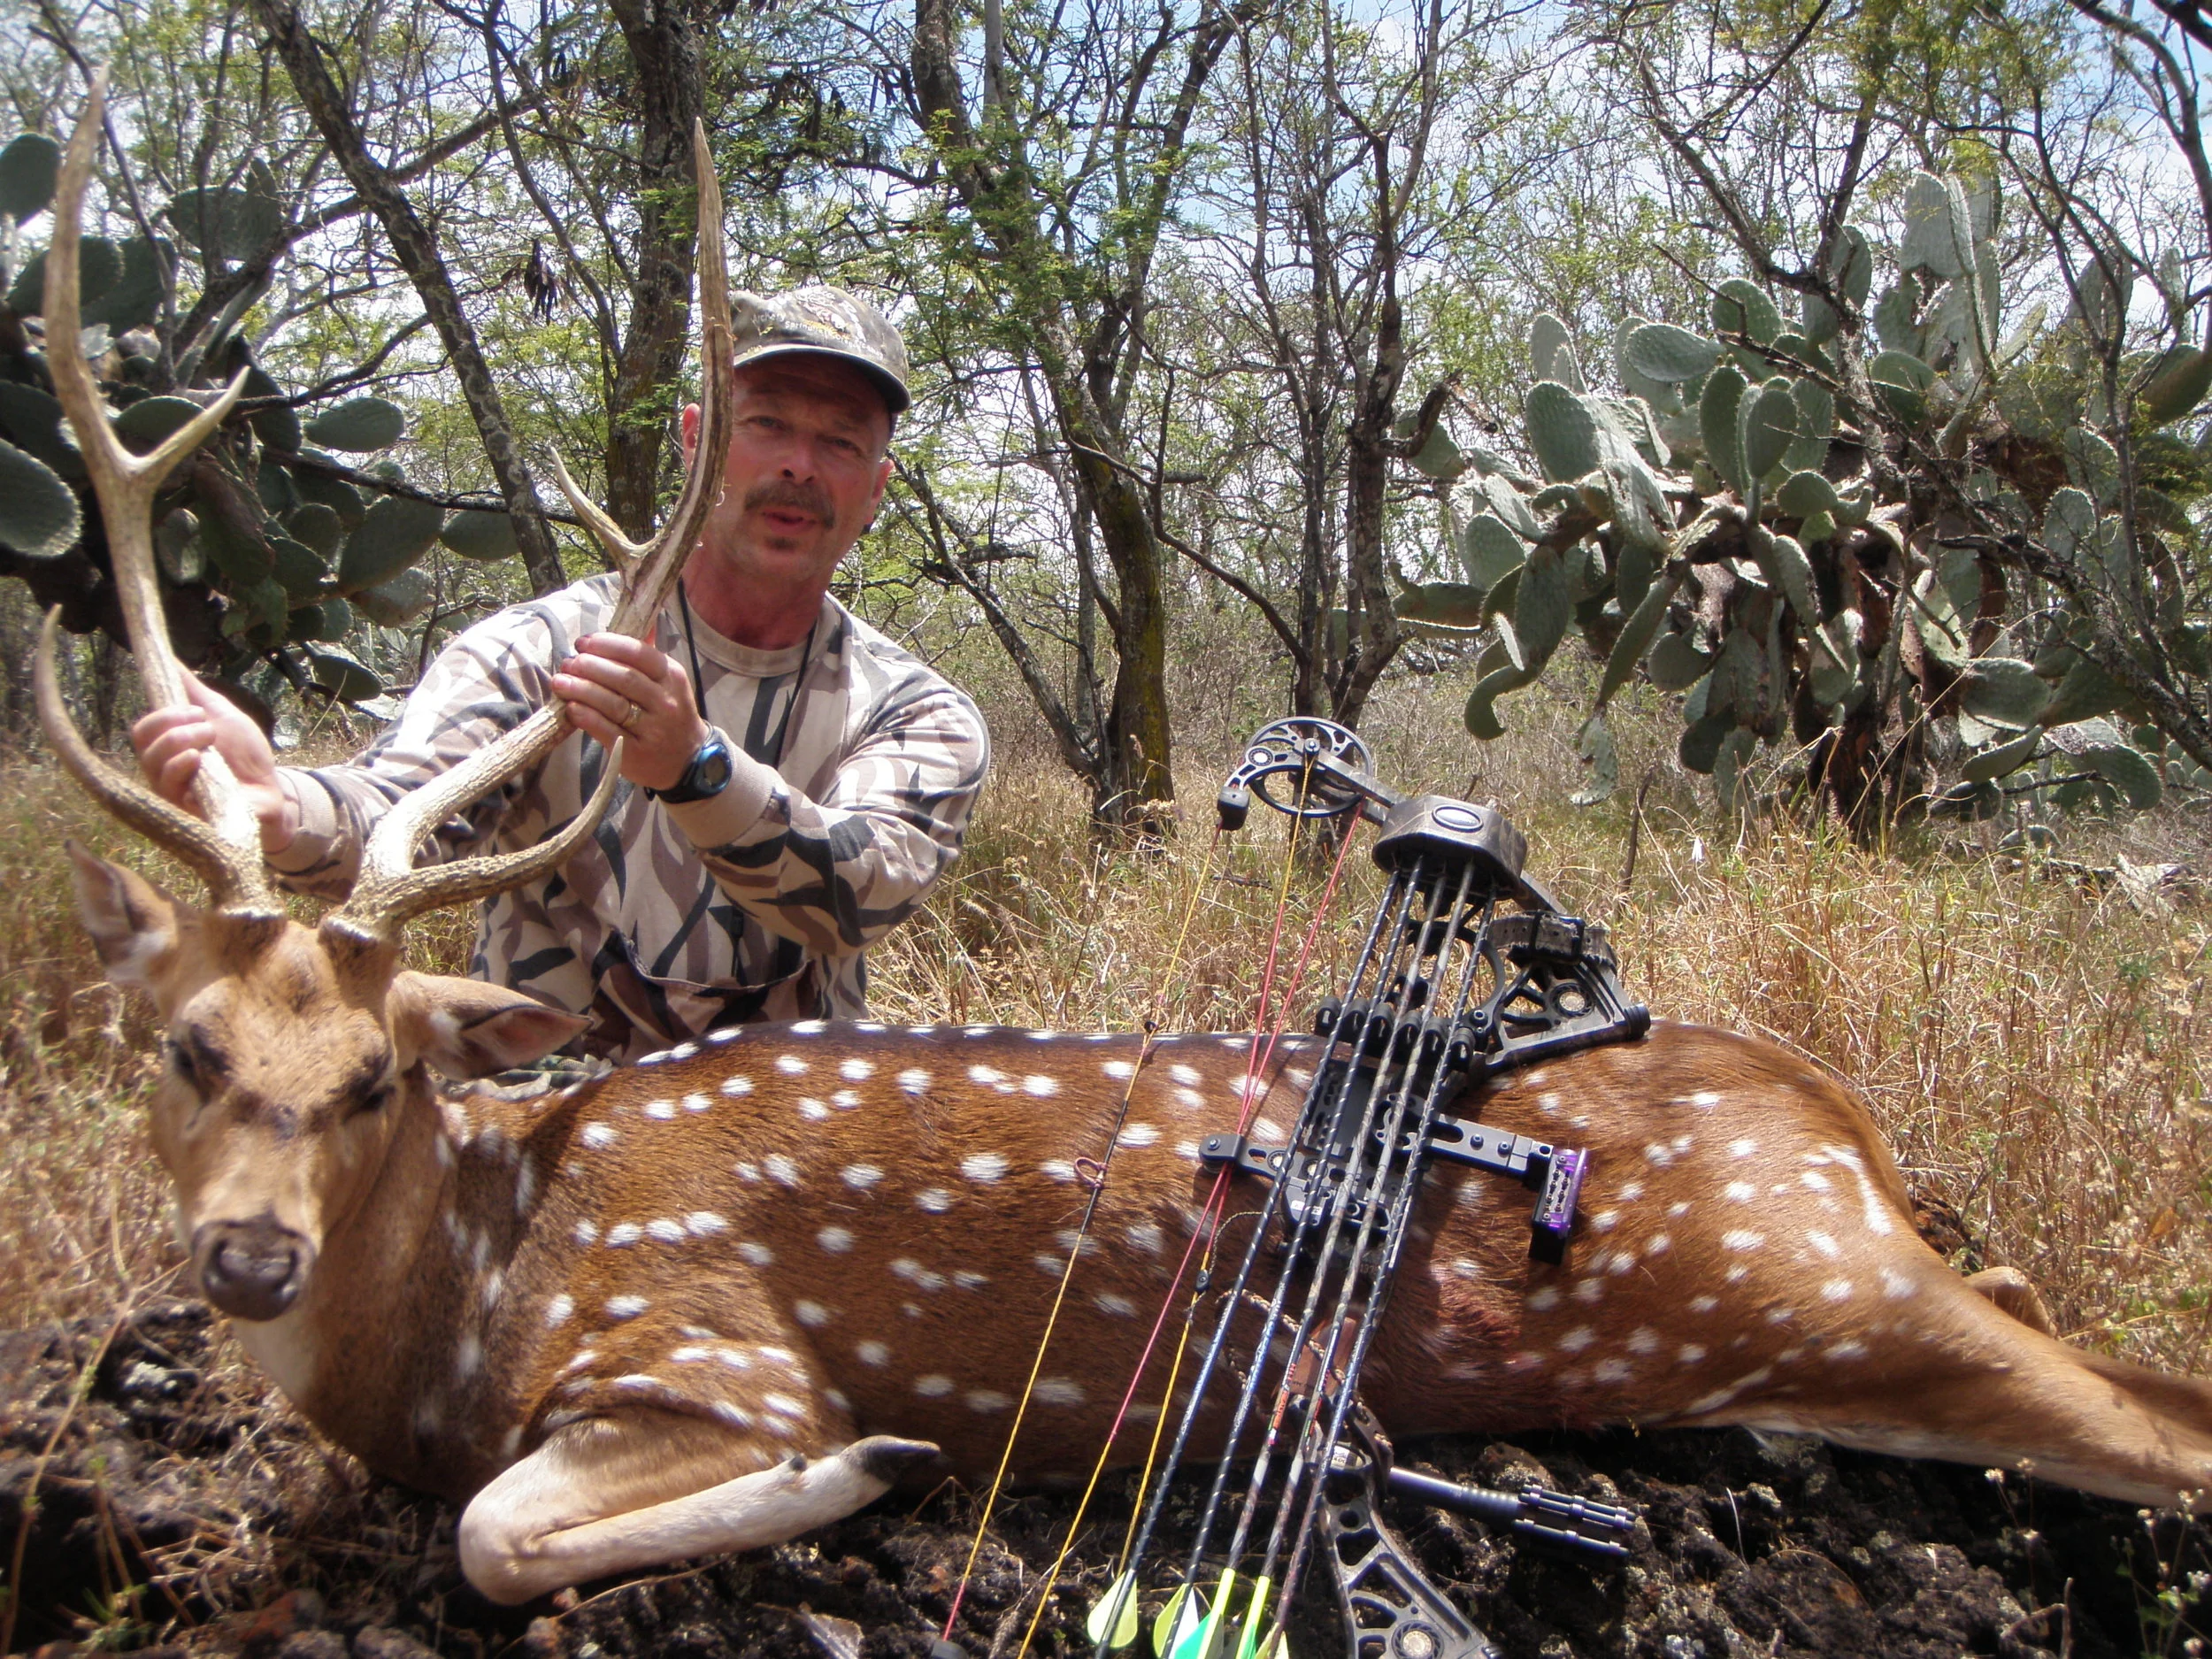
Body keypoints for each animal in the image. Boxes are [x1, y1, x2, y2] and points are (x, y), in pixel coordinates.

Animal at [30, 81, 2212, 1616]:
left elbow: (498, 1530)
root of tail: (1833, 1113)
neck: (473, 1310)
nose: (246, 1252)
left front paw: (887, 1464)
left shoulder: (702, 1350)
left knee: (2151, 1415)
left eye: (375, 1076)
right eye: (188, 1046)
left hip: (1797, 1277)